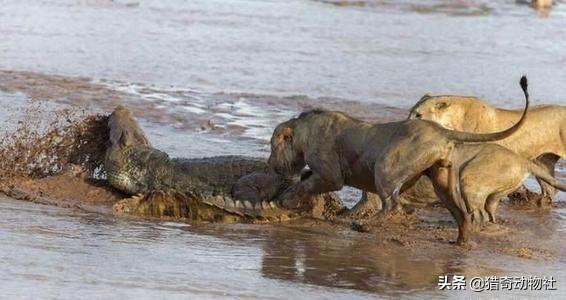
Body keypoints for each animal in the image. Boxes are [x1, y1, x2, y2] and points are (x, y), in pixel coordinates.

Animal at [410, 88, 564, 205]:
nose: (407, 125)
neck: (452, 121)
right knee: (550, 189)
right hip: (542, 161)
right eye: (411, 112)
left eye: (418, 114)